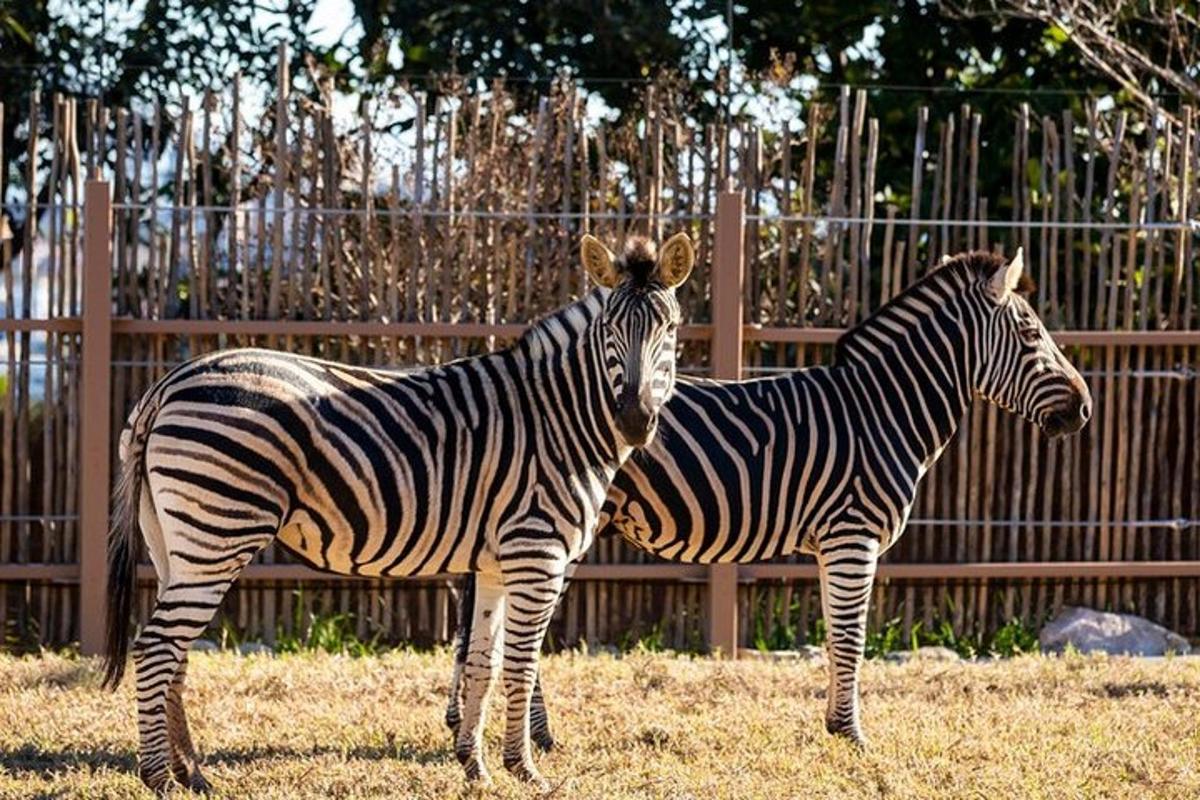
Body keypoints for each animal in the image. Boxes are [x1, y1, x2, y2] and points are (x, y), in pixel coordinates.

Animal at [105, 232, 700, 796]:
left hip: (176, 543)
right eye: (608, 331)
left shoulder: (494, 565)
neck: (558, 416)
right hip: (218, 532)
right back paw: (159, 778)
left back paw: (194, 774)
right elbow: (521, 667)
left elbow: (482, 665)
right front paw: (525, 771)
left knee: (176, 652)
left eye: (670, 329)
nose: (635, 420)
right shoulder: (537, 554)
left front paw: (475, 769)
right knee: (157, 647)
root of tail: (168, 383)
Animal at [446, 248, 1094, 753]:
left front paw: (835, 726)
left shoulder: (835, 545)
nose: (1085, 408)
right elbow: (852, 637)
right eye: (1033, 336)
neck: (882, 411)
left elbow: (836, 636)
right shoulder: (852, 537)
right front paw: (852, 736)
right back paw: (537, 737)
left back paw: (478, 726)